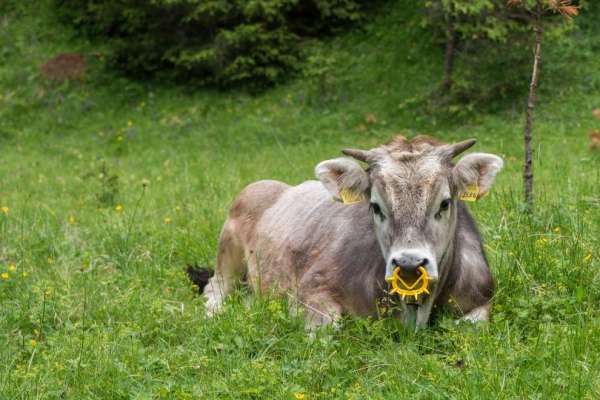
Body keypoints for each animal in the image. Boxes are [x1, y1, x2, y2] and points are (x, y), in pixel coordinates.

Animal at [186, 136, 502, 330]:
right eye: (375, 206)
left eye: (445, 203)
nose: (409, 264)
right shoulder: (309, 291)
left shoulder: (482, 298)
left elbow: (472, 325)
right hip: (228, 253)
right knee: (215, 289)